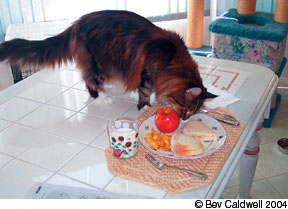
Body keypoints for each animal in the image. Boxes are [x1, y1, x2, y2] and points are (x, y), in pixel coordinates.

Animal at [0, 10, 215, 119]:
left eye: (192, 113)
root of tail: (78, 23)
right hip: (98, 62)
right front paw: (144, 107)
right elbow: (145, 93)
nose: (185, 119)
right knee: (90, 81)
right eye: (186, 110)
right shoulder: (147, 75)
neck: (172, 60)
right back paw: (103, 97)